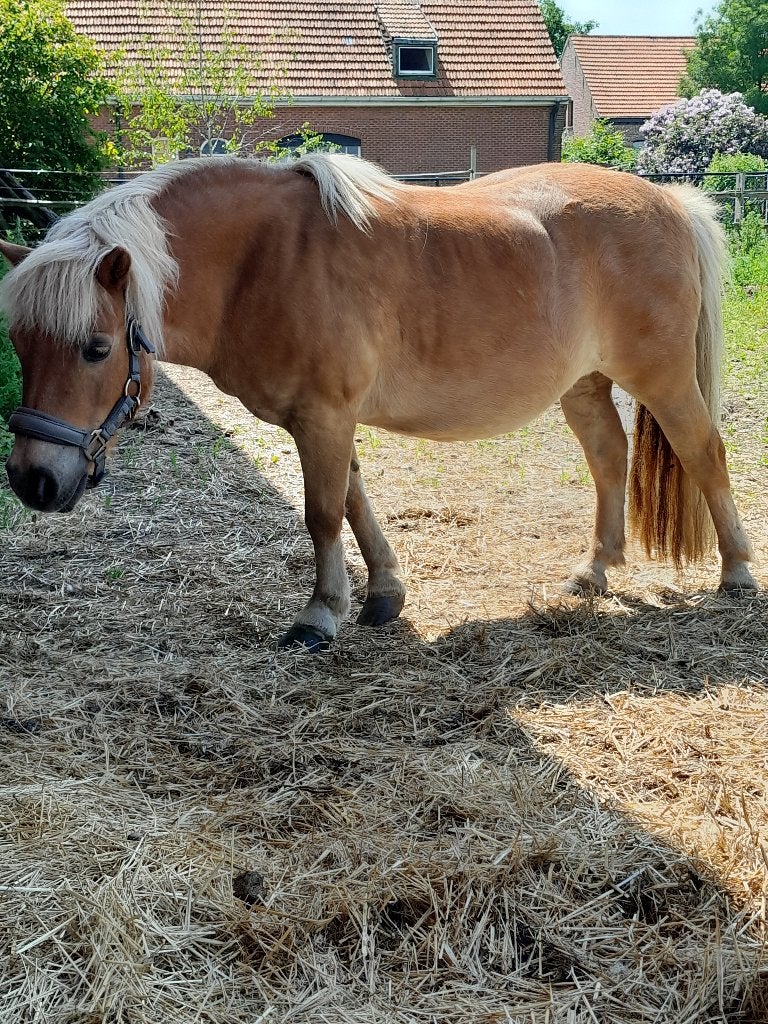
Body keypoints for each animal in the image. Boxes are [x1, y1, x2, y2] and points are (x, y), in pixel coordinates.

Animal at [0, 153, 757, 649]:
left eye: (96, 348)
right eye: (19, 343)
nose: (33, 481)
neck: (261, 260)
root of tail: (672, 202)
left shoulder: (324, 415)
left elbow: (323, 514)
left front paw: (319, 615)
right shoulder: (322, 419)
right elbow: (354, 501)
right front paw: (383, 593)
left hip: (662, 377)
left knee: (704, 453)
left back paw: (738, 571)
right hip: (585, 384)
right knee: (608, 458)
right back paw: (596, 571)